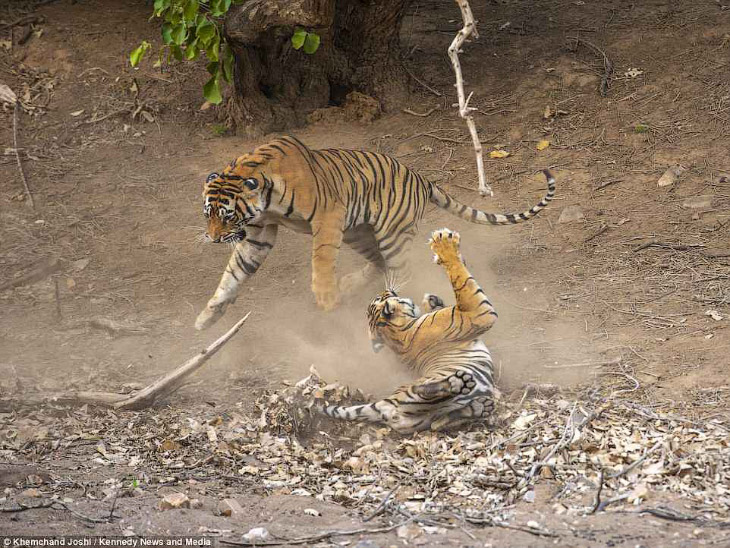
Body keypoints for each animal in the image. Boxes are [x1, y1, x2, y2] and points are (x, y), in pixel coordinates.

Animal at [193, 135, 552, 332]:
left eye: (227, 216)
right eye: (209, 215)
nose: (213, 238)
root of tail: (422, 179)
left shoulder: (328, 216)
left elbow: (321, 258)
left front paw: (325, 297)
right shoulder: (258, 233)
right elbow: (234, 273)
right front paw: (207, 316)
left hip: (390, 233)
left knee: (400, 270)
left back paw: (390, 301)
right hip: (359, 232)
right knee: (378, 262)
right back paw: (354, 285)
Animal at [316, 227, 498, 432]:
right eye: (381, 297)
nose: (384, 290)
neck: (397, 333)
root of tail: (384, 405)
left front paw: (432, 300)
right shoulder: (477, 313)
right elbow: (461, 278)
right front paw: (444, 246)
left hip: (424, 419)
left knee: (438, 423)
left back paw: (479, 407)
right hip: (415, 395)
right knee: (422, 390)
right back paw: (459, 383)